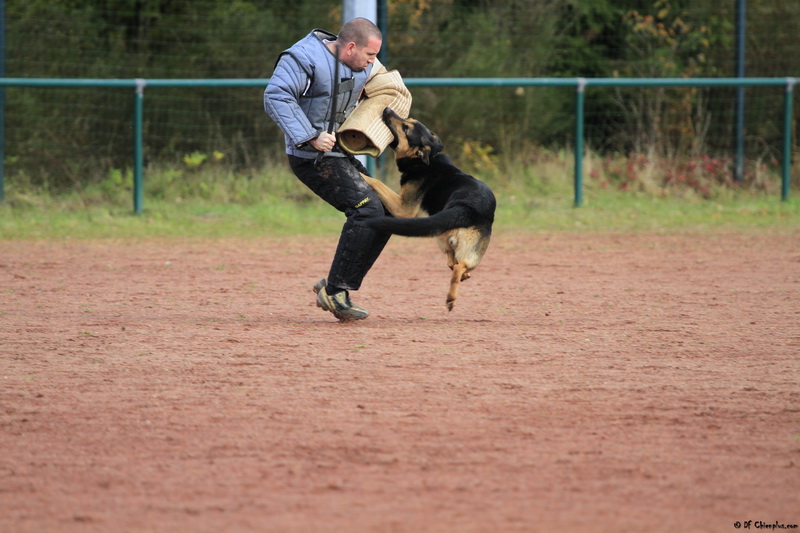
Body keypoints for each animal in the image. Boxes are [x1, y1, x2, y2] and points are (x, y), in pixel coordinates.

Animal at [360, 106, 494, 310]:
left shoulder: (403, 208)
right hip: (451, 242)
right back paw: (458, 283)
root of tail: (467, 206)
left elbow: (376, 181)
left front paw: (361, 174)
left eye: (405, 128)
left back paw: (451, 297)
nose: (388, 109)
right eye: (409, 119)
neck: (429, 159)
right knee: (455, 264)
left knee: (458, 266)